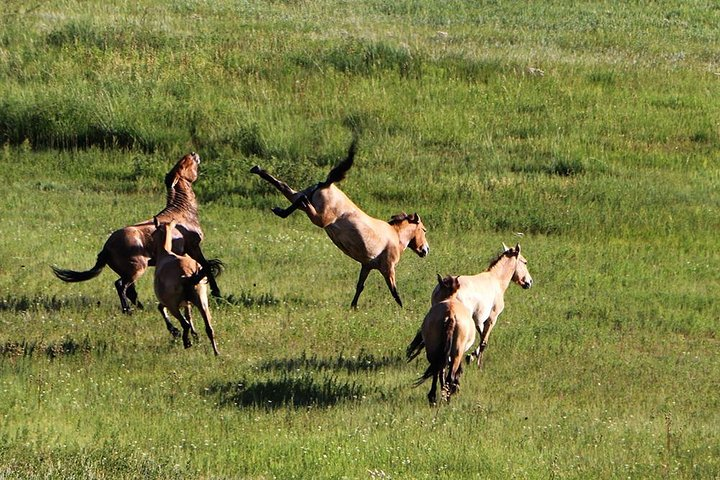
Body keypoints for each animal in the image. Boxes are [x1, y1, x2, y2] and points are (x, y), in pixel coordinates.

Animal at [51, 152, 221, 314]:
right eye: (182, 164)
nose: (193, 154)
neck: (181, 213)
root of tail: (106, 248)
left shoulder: (183, 253)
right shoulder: (193, 247)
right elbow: (206, 265)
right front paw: (217, 294)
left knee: (130, 290)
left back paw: (140, 307)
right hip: (137, 269)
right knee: (121, 285)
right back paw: (128, 310)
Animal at [153, 218, 218, 356]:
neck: (165, 254)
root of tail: (187, 275)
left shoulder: (168, 302)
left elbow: (161, 308)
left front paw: (175, 331)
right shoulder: (187, 303)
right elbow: (189, 316)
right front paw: (195, 336)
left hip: (173, 306)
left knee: (185, 324)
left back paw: (186, 342)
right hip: (202, 303)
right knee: (209, 328)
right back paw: (216, 353)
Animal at [250, 139, 428, 308]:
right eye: (424, 230)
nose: (426, 250)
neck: (395, 236)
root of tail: (327, 184)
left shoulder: (366, 266)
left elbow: (360, 286)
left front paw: (353, 306)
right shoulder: (388, 268)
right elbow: (394, 292)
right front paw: (402, 309)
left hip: (300, 197)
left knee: (287, 188)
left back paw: (260, 175)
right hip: (320, 218)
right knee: (303, 201)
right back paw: (281, 208)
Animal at [408, 274, 476, 404]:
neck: (450, 298)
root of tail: (450, 314)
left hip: (434, 350)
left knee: (437, 370)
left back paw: (435, 397)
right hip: (456, 353)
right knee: (448, 374)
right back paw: (445, 398)